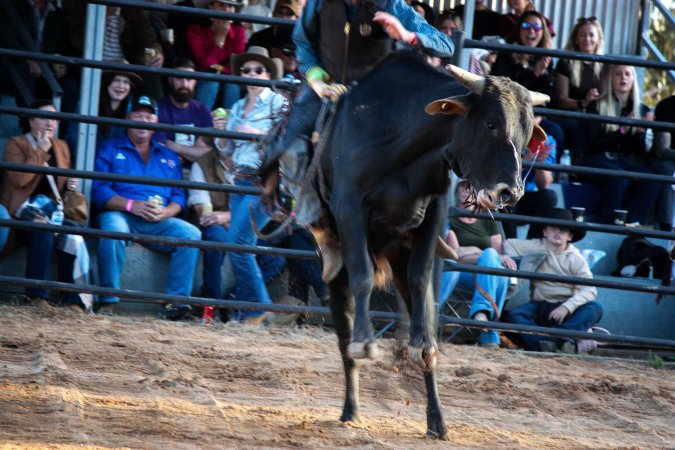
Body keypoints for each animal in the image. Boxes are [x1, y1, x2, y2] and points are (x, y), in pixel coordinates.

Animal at [285, 51, 548, 439]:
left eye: (527, 133)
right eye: (491, 125)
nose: (510, 192)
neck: (397, 137)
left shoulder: (433, 213)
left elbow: (422, 279)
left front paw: (422, 344)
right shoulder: (349, 209)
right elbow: (363, 276)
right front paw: (365, 341)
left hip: (398, 255)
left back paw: (436, 420)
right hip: (336, 272)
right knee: (344, 333)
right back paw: (351, 408)